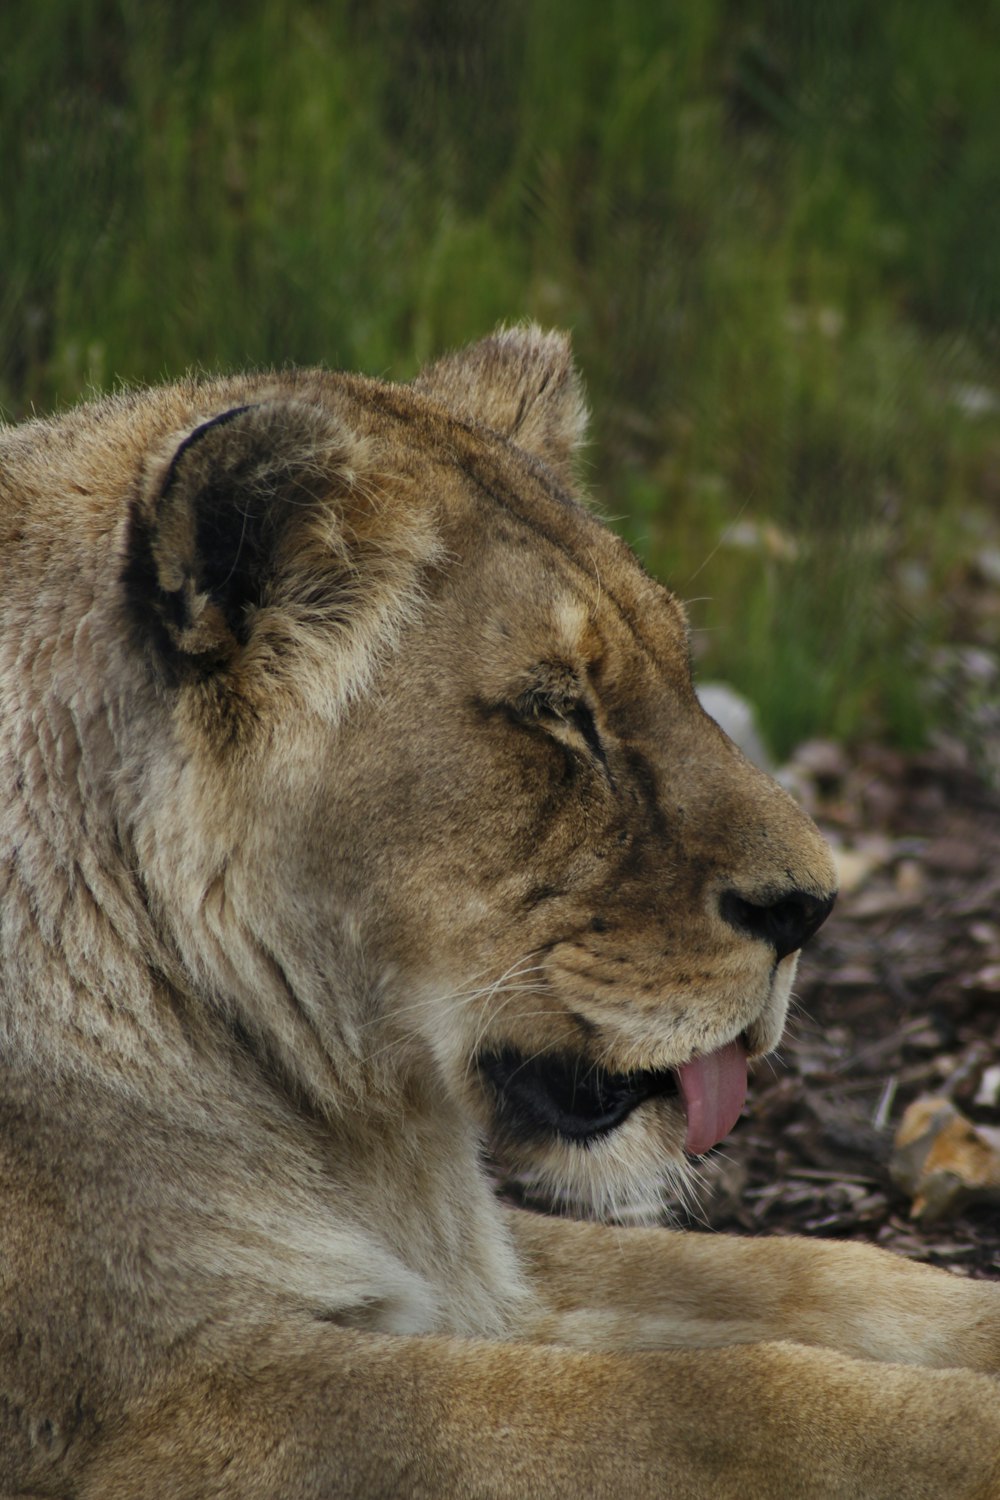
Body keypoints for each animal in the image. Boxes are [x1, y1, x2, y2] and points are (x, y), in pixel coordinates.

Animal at [0, 331, 995, 1500]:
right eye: (556, 711)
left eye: (681, 668)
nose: (812, 909)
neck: (356, 1129)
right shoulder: (168, 1404)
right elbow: (732, 1400)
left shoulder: (477, 1262)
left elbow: (811, 1270)